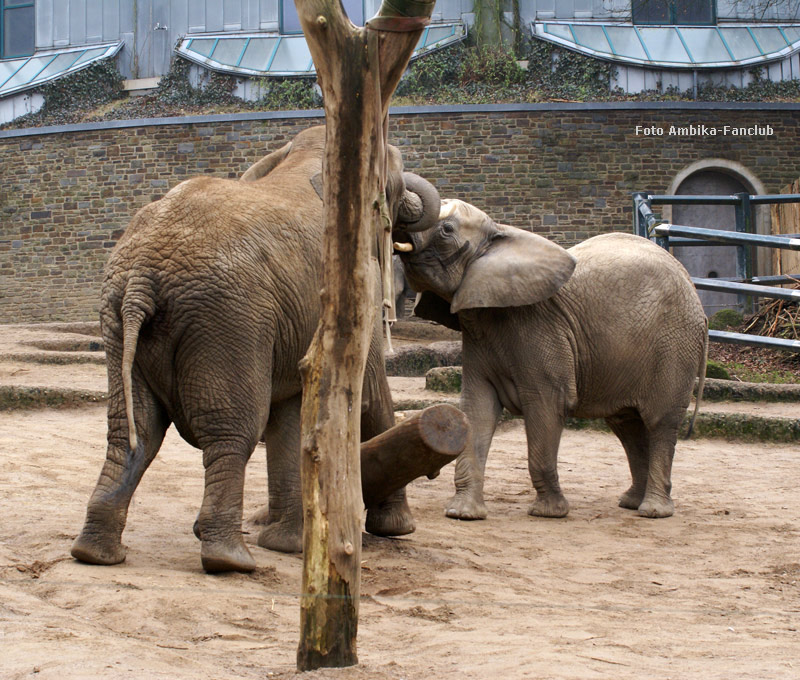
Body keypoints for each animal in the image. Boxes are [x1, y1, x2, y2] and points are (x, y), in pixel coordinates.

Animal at [71, 125, 440, 572]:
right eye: (397, 179)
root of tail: (143, 273)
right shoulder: (356, 288)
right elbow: (368, 394)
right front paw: (396, 529)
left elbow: (291, 415)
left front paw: (287, 545)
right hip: (226, 317)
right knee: (232, 431)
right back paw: (230, 560)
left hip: (119, 315)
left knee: (134, 430)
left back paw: (95, 553)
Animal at [394, 199, 708, 524]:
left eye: (447, 229)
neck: (501, 235)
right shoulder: (479, 333)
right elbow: (477, 409)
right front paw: (462, 514)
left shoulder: (540, 327)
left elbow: (547, 402)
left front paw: (549, 513)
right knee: (627, 425)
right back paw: (631, 502)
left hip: (675, 345)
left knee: (659, 423)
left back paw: (653, 511)